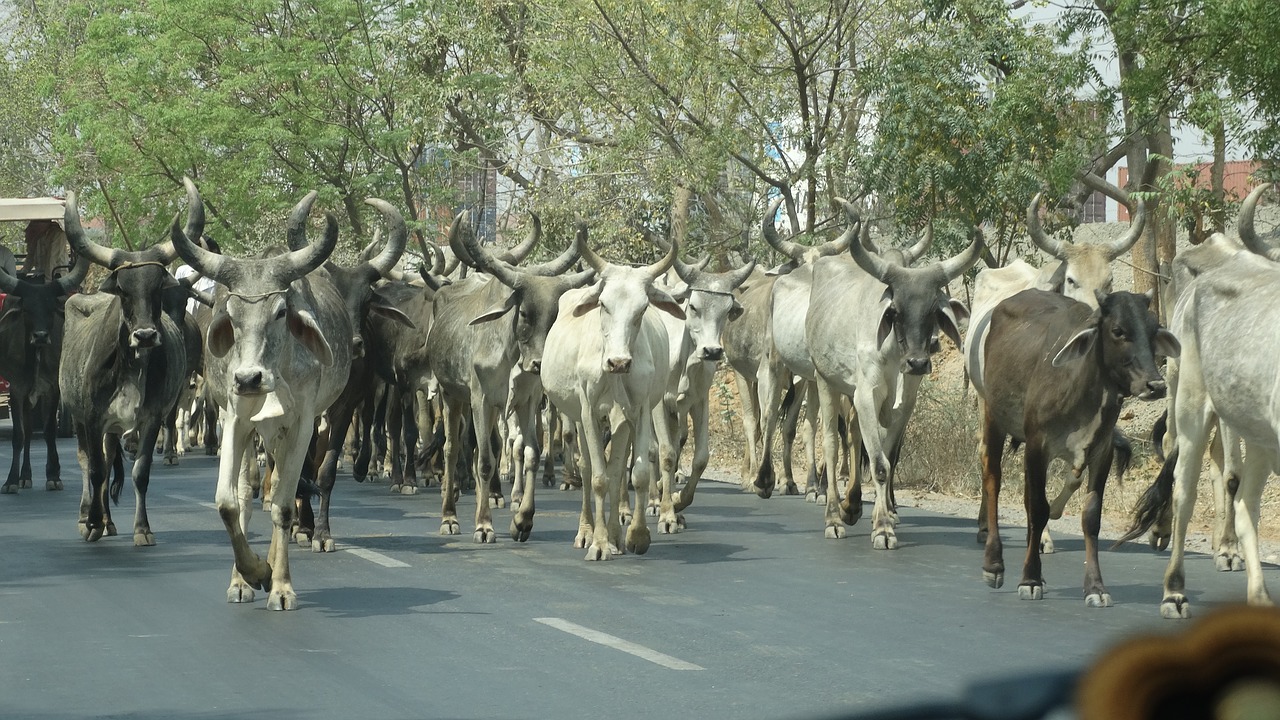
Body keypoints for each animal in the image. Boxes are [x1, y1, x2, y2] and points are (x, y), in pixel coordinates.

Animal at [0, 240, 88, 491]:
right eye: (27, 309)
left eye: (50, 309)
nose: (40, 336)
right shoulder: (17, 388)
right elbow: (19, 435)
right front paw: (11, 480)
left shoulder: (53, 388)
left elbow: (49, 431)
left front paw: (53, 475)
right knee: (28, 432)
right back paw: (24, 476)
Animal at [170, 178, 353, 604]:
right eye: (231, 315)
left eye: (281, 312)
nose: (249, 379)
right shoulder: (235, 419)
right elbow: (228, 503)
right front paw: (250, 574)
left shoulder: (302, 425)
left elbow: (283, 507)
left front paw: (280, 583)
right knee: (246, 494)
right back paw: (246, 577)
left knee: (282, 493)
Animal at [977, 288, 1177, 602]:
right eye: (1118, 330)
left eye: (1153, 329)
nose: (1155, 385)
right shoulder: (1038, 446)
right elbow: (1039, 509)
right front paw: (1029, 580)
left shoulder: (1101, 452)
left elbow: (1090, 518)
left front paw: (1095, 587)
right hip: (993, 417)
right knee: (993, 479)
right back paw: (994, 564)